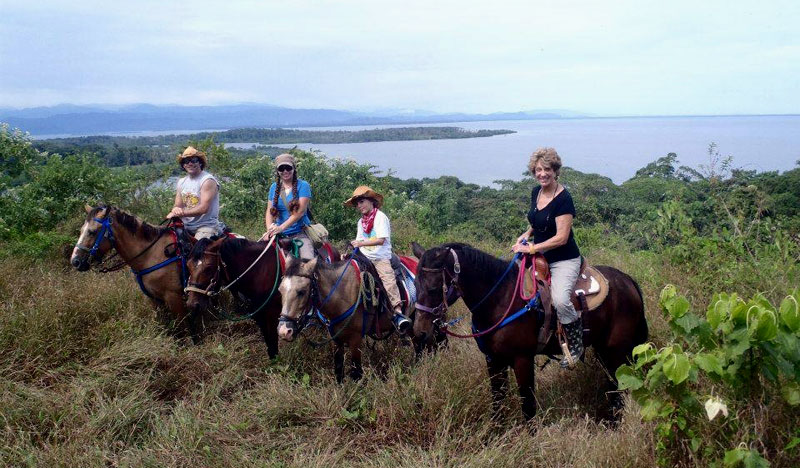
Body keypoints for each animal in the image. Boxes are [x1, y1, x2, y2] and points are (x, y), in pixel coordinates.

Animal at [71, 205, 199, 336]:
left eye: (92, 232)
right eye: (81, 230)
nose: (75, 261)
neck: (151, 254)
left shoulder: (174, 298)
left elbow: (185, 330)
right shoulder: (154, 299)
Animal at [184, 236, 338, 360]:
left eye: (209, 267)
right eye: (188, 265)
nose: (192, 303)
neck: (258, 272)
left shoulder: (273, 315)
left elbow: (273, 343)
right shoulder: (259, 316)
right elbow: (269, 343)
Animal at [410, 243, 648, 422]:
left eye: (433, 289)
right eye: (415, 286)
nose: (420, 332)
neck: (500, 298)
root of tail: (627, 280)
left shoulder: (522, 359)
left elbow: (527, 403)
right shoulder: (493, 359)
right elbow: (497, 401)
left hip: (616, 350)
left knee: (618, 388)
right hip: (603, 350)